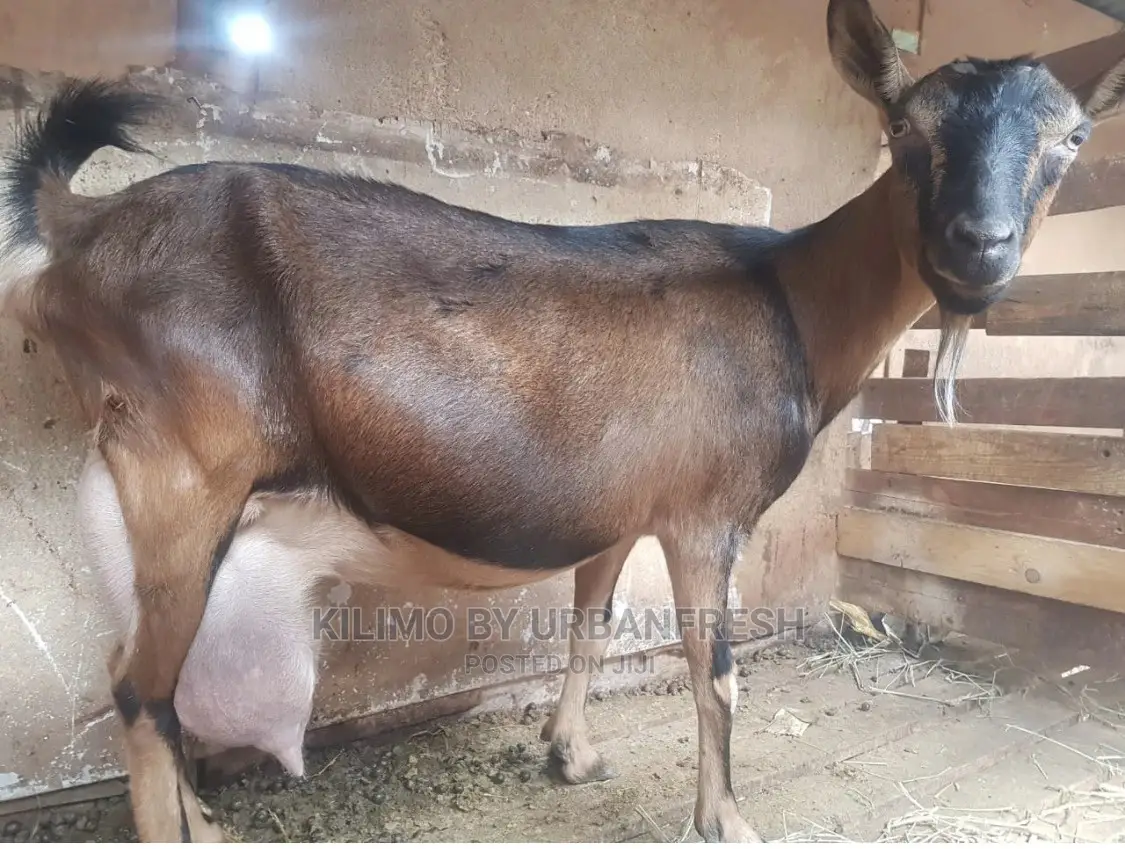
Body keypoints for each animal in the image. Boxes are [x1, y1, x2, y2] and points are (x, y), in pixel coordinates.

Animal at [3, 0, 1124, 841]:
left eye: (1071, 141)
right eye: (903, 133)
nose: (978, 248)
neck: (791, 304)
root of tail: (80, 228)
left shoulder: (619, 514)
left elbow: (588, 628)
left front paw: (571, 753)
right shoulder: (706, 516)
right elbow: (716, 675)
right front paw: (728, 820)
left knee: (145, 680)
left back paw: (205, 819)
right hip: (182, 473)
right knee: (139, 690)